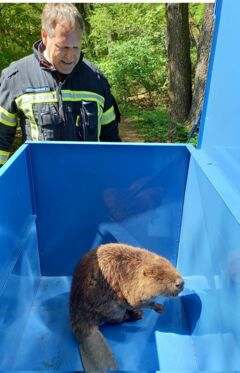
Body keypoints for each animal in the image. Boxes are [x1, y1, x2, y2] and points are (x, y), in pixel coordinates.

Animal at [69, 241, 184, 370]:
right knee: (116, 320)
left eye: (171, 266)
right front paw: (159, 307)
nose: (180, 283)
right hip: (113, 309)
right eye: (160, 277)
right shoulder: (132, 289)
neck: (136, 267)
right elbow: (135, 301)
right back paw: (137, 315)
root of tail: (84, 332)